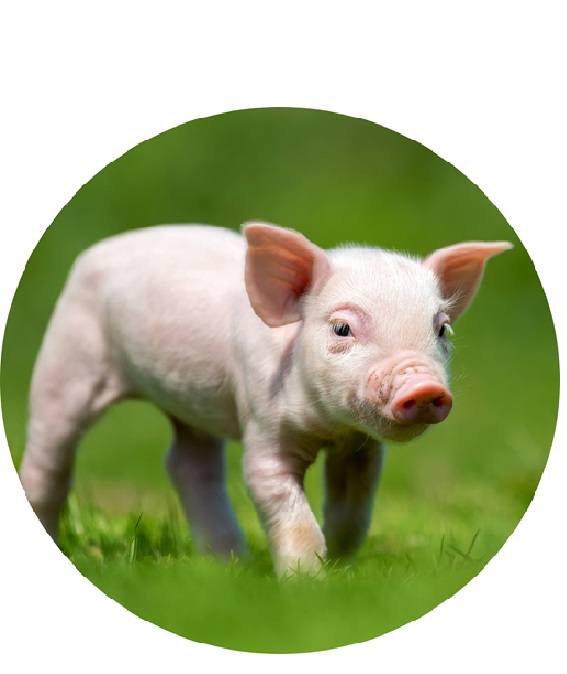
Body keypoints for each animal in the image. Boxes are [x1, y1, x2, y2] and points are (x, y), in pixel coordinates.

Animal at [19, 222, 511, 575]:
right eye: (342, 328)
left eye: (442, 329)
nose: (422, 385)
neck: (328, 429)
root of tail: (100, 250)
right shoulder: (262, 419)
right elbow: (276, 494)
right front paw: (308, 585)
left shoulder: (361, 449)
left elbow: (352, 510)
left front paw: (341, 568)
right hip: (67, 357)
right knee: (50, 451)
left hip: (190, 404)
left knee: (187, 464)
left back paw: (230, 564)